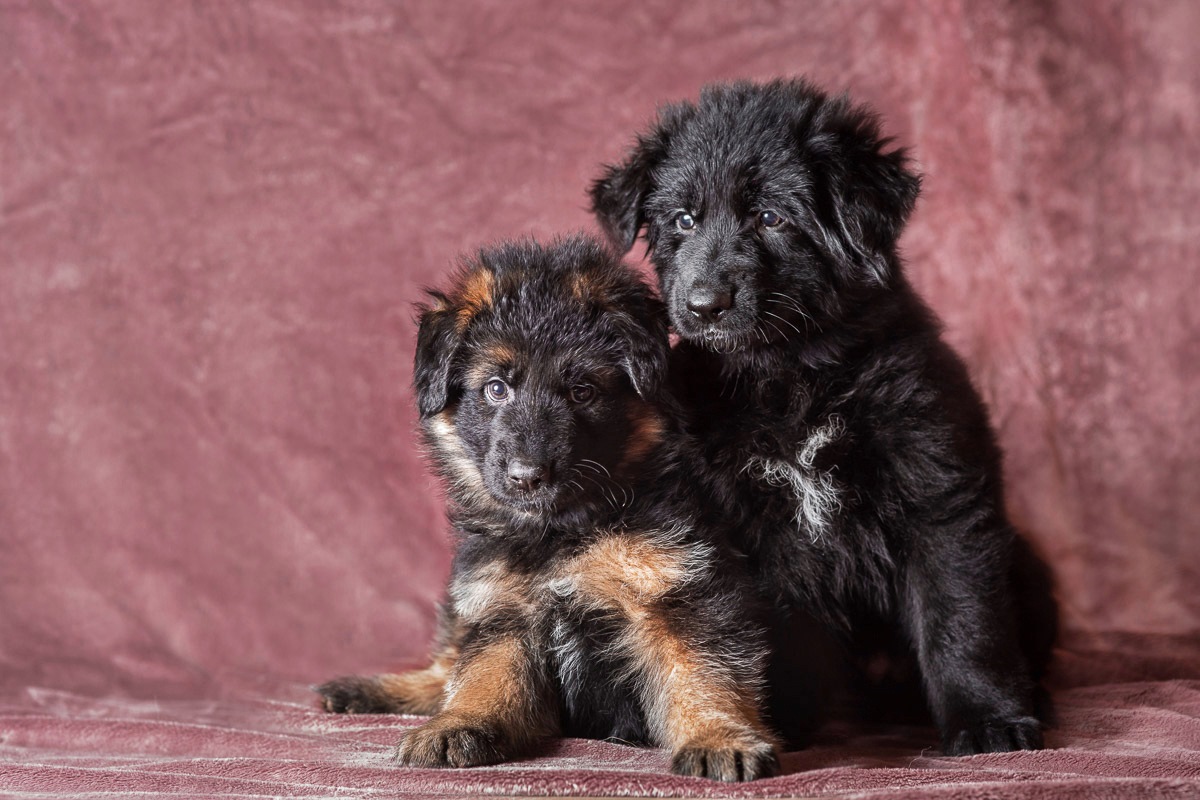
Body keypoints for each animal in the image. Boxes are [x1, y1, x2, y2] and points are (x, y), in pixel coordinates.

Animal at [319, 232, 777, 782]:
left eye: (582, 391)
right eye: (496, 388)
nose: (527, 476)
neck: (562, 532)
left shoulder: (677, 589)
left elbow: (703, 670)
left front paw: (719, 736)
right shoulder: (502, 609)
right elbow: (482, 676)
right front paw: (459, 723)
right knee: (446, 668)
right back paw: (368, 689)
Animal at [588, 81, 1051, 758]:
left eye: (771, 218)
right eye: (683, 220)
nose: (703, 305)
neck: (792, 375)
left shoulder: (939, 495)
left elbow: (963, 620)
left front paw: (988, 720)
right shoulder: (736, 530)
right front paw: (758, 719)